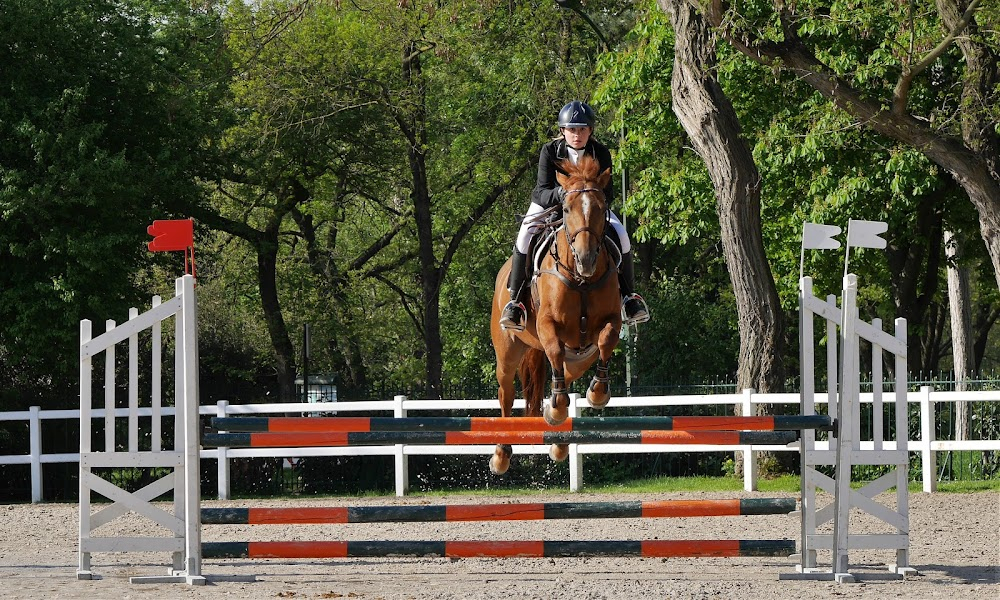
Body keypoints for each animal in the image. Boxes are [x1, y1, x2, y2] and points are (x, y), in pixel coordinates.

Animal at [488, 157, 620, 476]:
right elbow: (554, 350)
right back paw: (501, 454)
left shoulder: (612, 320)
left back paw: (558, 438)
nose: (586, 259)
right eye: (567, 208)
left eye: (601, 207)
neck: (581, 278)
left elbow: (606, 339)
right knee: (506, 393)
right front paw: (558, 408)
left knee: (566, 377)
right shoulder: (547, 325)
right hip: (507, 352)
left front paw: (597, 394)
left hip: (580, 358)